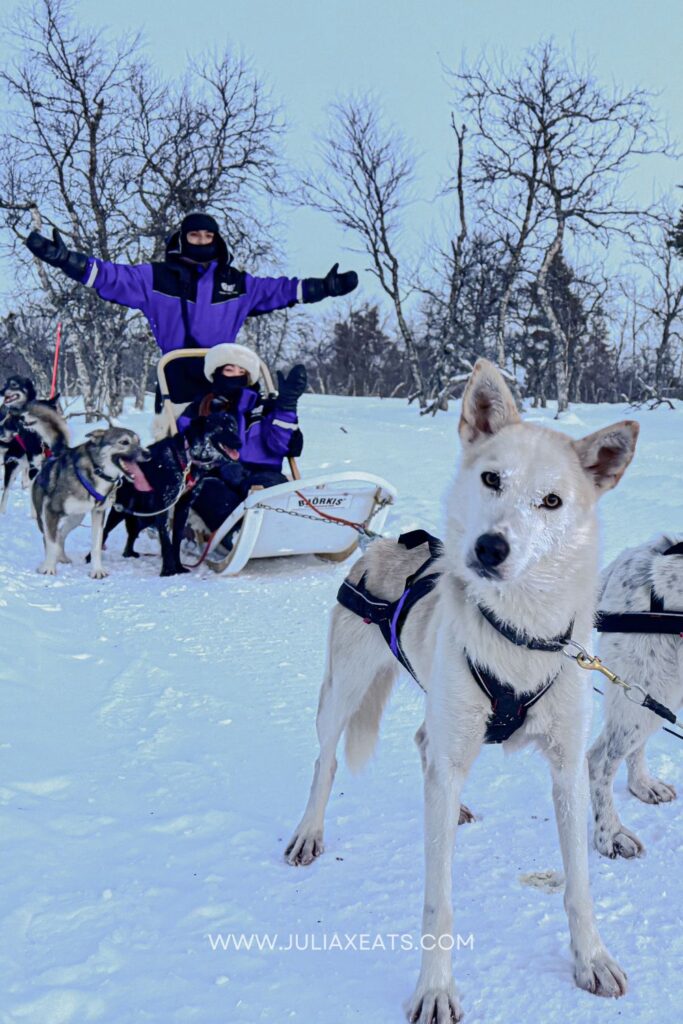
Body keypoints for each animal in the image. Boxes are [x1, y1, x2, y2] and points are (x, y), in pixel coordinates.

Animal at [31, 425, 148, 581]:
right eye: (124, 442)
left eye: (139, 441)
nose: (148, 453)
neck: (97, 471)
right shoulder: (52, 511)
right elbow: (51, 542)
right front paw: (49, 568)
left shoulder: (98, 512)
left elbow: (96, 546)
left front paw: (97, 570)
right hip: (43, 517)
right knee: (48, 537)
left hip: (75, 518)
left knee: (60, 534)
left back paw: (62, 557)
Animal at [286, 362, 643, 1024]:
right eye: (491, 478)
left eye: (552, 501)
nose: (490, 547)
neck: (517, 634)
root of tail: (380, 542)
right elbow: (439, 902)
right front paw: (434, 990)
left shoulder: (566, 769)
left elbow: (579, 886)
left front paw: (591, 959)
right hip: (343, 693)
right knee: (326, 761)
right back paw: (309, 832)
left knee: (424, 742)